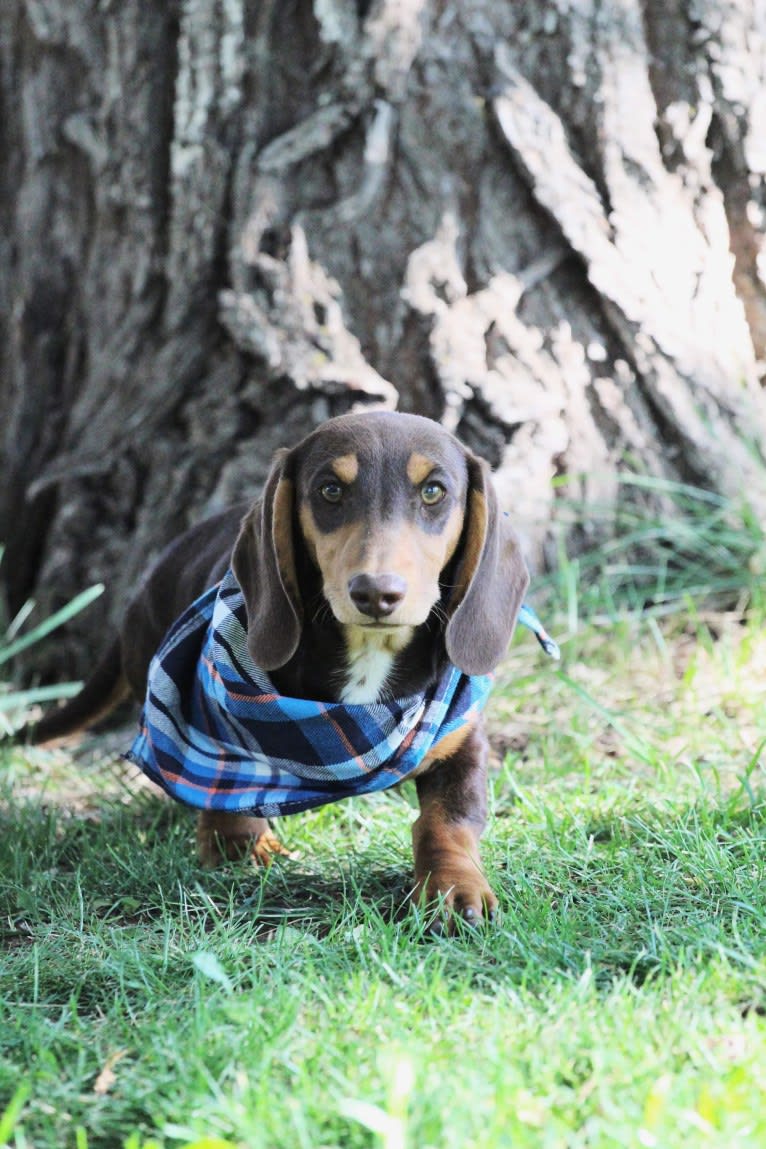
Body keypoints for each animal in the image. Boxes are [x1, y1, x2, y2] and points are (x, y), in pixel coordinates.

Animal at [26, 411, 530, 923]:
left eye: (433, 491)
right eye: (330, 489)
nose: (375, 593)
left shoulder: (462, 740)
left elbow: (448, 820)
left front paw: (453, 888)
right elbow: (224, 785)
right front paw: (243, 845)